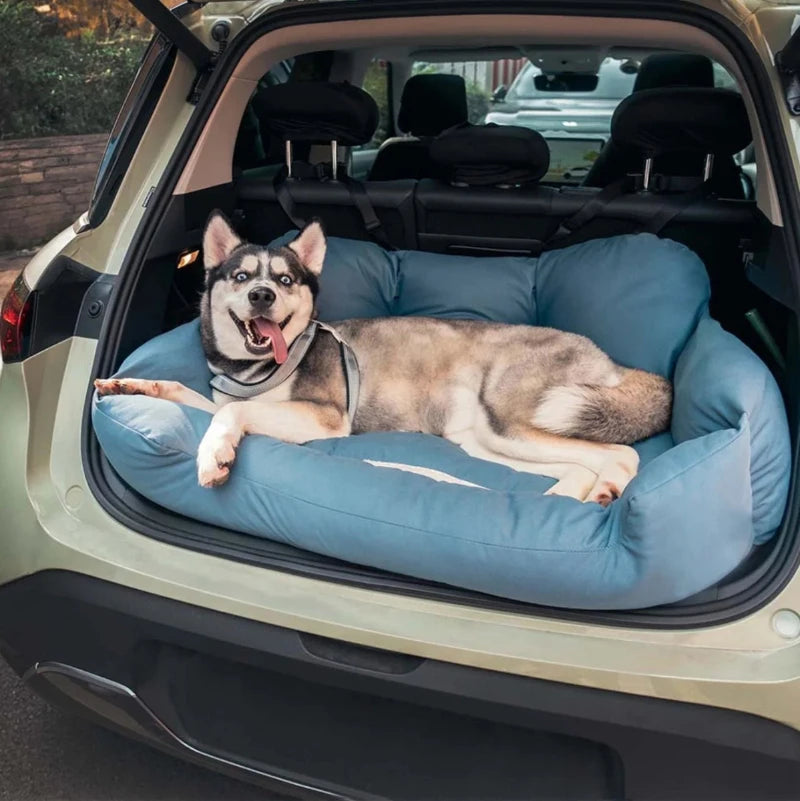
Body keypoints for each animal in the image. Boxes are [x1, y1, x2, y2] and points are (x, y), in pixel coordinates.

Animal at [97, 209, 672, 504]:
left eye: (285, 280)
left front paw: (213, 455)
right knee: (575, 463)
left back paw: (605, 491)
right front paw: (131, 386)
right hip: (484, 441)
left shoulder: (325, 420)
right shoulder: (227, 398)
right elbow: (188, 394)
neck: (257, 370)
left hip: (509, 419)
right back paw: (561, 499)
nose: (261, 296)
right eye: (240, 277)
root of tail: (616, 363)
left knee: (622, 455)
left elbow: (232, 413)